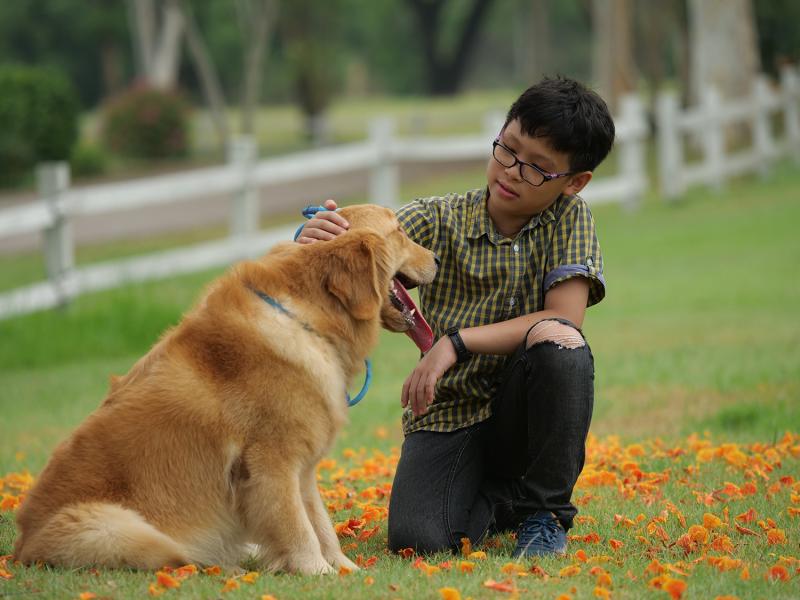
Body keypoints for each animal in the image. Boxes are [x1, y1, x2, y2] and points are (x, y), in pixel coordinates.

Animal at [14, 204, 438, 576]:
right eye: (399, 232)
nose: (436, 258)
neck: (308, 315)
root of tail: (20, 548)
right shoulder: (272, 462)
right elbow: (299, 528)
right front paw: (317, 573)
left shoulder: (302, 466)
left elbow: (320, 525)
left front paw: (345, 569)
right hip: (119, 527)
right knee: (179, 560)